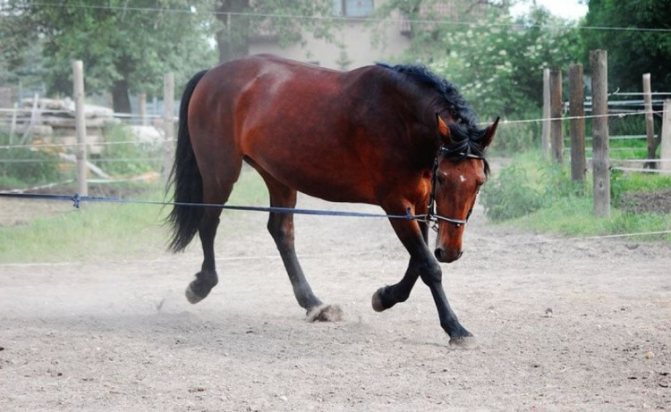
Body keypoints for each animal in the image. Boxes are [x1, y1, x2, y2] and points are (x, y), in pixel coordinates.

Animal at [168, 54, 497, 344]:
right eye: (443, 178)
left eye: (479, 181)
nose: (450, 251)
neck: (399, 118)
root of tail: (211, 74)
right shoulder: (396, 204)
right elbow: (428, 266)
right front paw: (456, 329)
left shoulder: (419, 205)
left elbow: (417, 263)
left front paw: (384, 297)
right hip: (220, 172)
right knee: (209, 222)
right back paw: (201, 285)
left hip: (277, 175)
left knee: (281, 231)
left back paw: (313, 303)